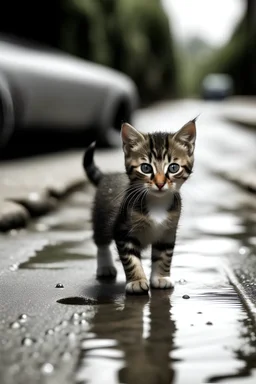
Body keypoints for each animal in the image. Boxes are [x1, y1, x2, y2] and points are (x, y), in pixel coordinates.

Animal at [83, 120, 197, 294]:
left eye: (173, 167)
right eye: (146, 168)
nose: (160, 183)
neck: (157, 203)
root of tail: (106, 177)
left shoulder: (168, 232)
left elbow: (164, 256)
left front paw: (160, 277)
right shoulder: (122, 230)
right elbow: (131, 259)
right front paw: (137, 281)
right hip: (100, 216)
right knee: (101, 241)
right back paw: (105, 266)